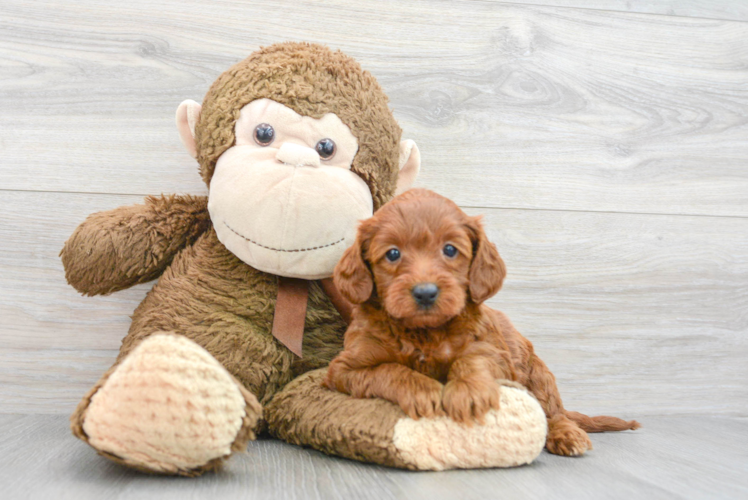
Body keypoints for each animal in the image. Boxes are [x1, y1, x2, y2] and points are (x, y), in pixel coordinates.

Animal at [324, 188, 640, 458]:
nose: (425, 292)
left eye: (450, 250)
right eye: (392, 253)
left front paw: (468, 391)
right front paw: (421, 389)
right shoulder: (344, 368)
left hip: (537, 374)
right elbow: (388, 369)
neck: (424, 332)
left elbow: (473, 359)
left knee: (553, 411)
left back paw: (567, 435)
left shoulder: (495, 352)